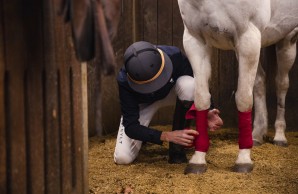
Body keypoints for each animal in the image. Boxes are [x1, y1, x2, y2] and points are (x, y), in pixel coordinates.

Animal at [178, 0, 296, 173]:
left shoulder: (248, 38)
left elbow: (243, 100)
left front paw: (243, 159)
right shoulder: (195, 41)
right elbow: (201, 98)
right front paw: (198, 160)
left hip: (287, 39)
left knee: (281, 84)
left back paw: (280, 136)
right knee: (260, 81)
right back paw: (257, 135)